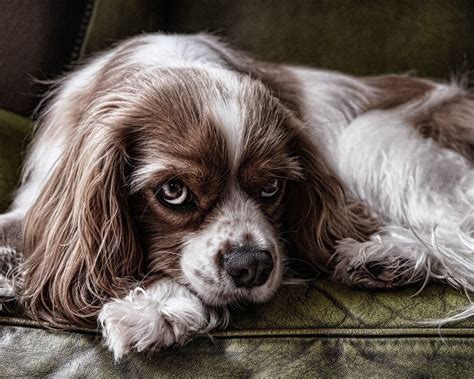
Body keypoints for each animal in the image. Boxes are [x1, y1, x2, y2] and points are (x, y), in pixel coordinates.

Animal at [0, 32, 472, 360]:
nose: (252, 266)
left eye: (272, 187)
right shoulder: (42, 201)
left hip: (370, 136)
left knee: (456, 233)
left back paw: (387, 255)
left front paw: (157, 307)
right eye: (173, 191)